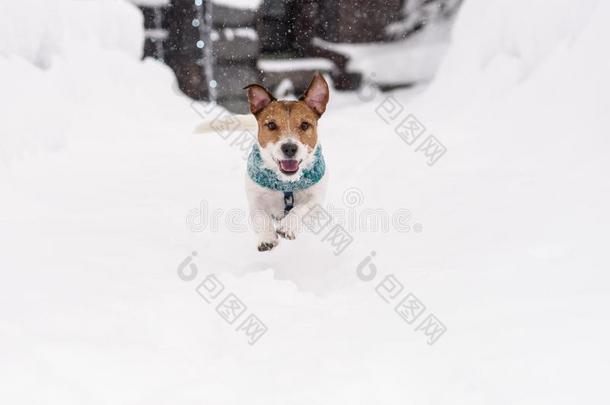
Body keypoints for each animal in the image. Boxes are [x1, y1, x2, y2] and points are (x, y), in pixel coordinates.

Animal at [242, 72, 328, 249]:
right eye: (271, 125)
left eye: (304, 125)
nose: (289, 148)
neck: (286, 183)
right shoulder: (255, 200)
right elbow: (261, 216)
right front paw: (267, 237)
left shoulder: (316, 199)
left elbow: (301, 208)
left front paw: (288, 226)